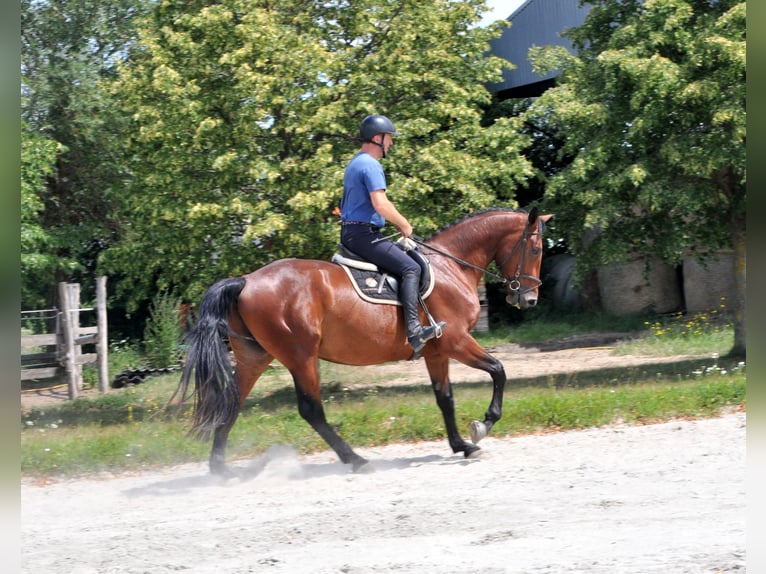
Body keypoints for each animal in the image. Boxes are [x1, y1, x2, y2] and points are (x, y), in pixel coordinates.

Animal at [177, 208, 556, 476]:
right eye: (536, 248)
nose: (529, 299)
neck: (451, 267)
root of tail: (245, 280)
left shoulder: (436, 352)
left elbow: (445, 398)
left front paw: (461, 445)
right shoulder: (456, 342)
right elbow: (499, 370)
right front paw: (482, 426)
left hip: (255, 357)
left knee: (231, 402)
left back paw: (219, 468)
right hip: (300, 355)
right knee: (311, 410)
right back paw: (356, 459)